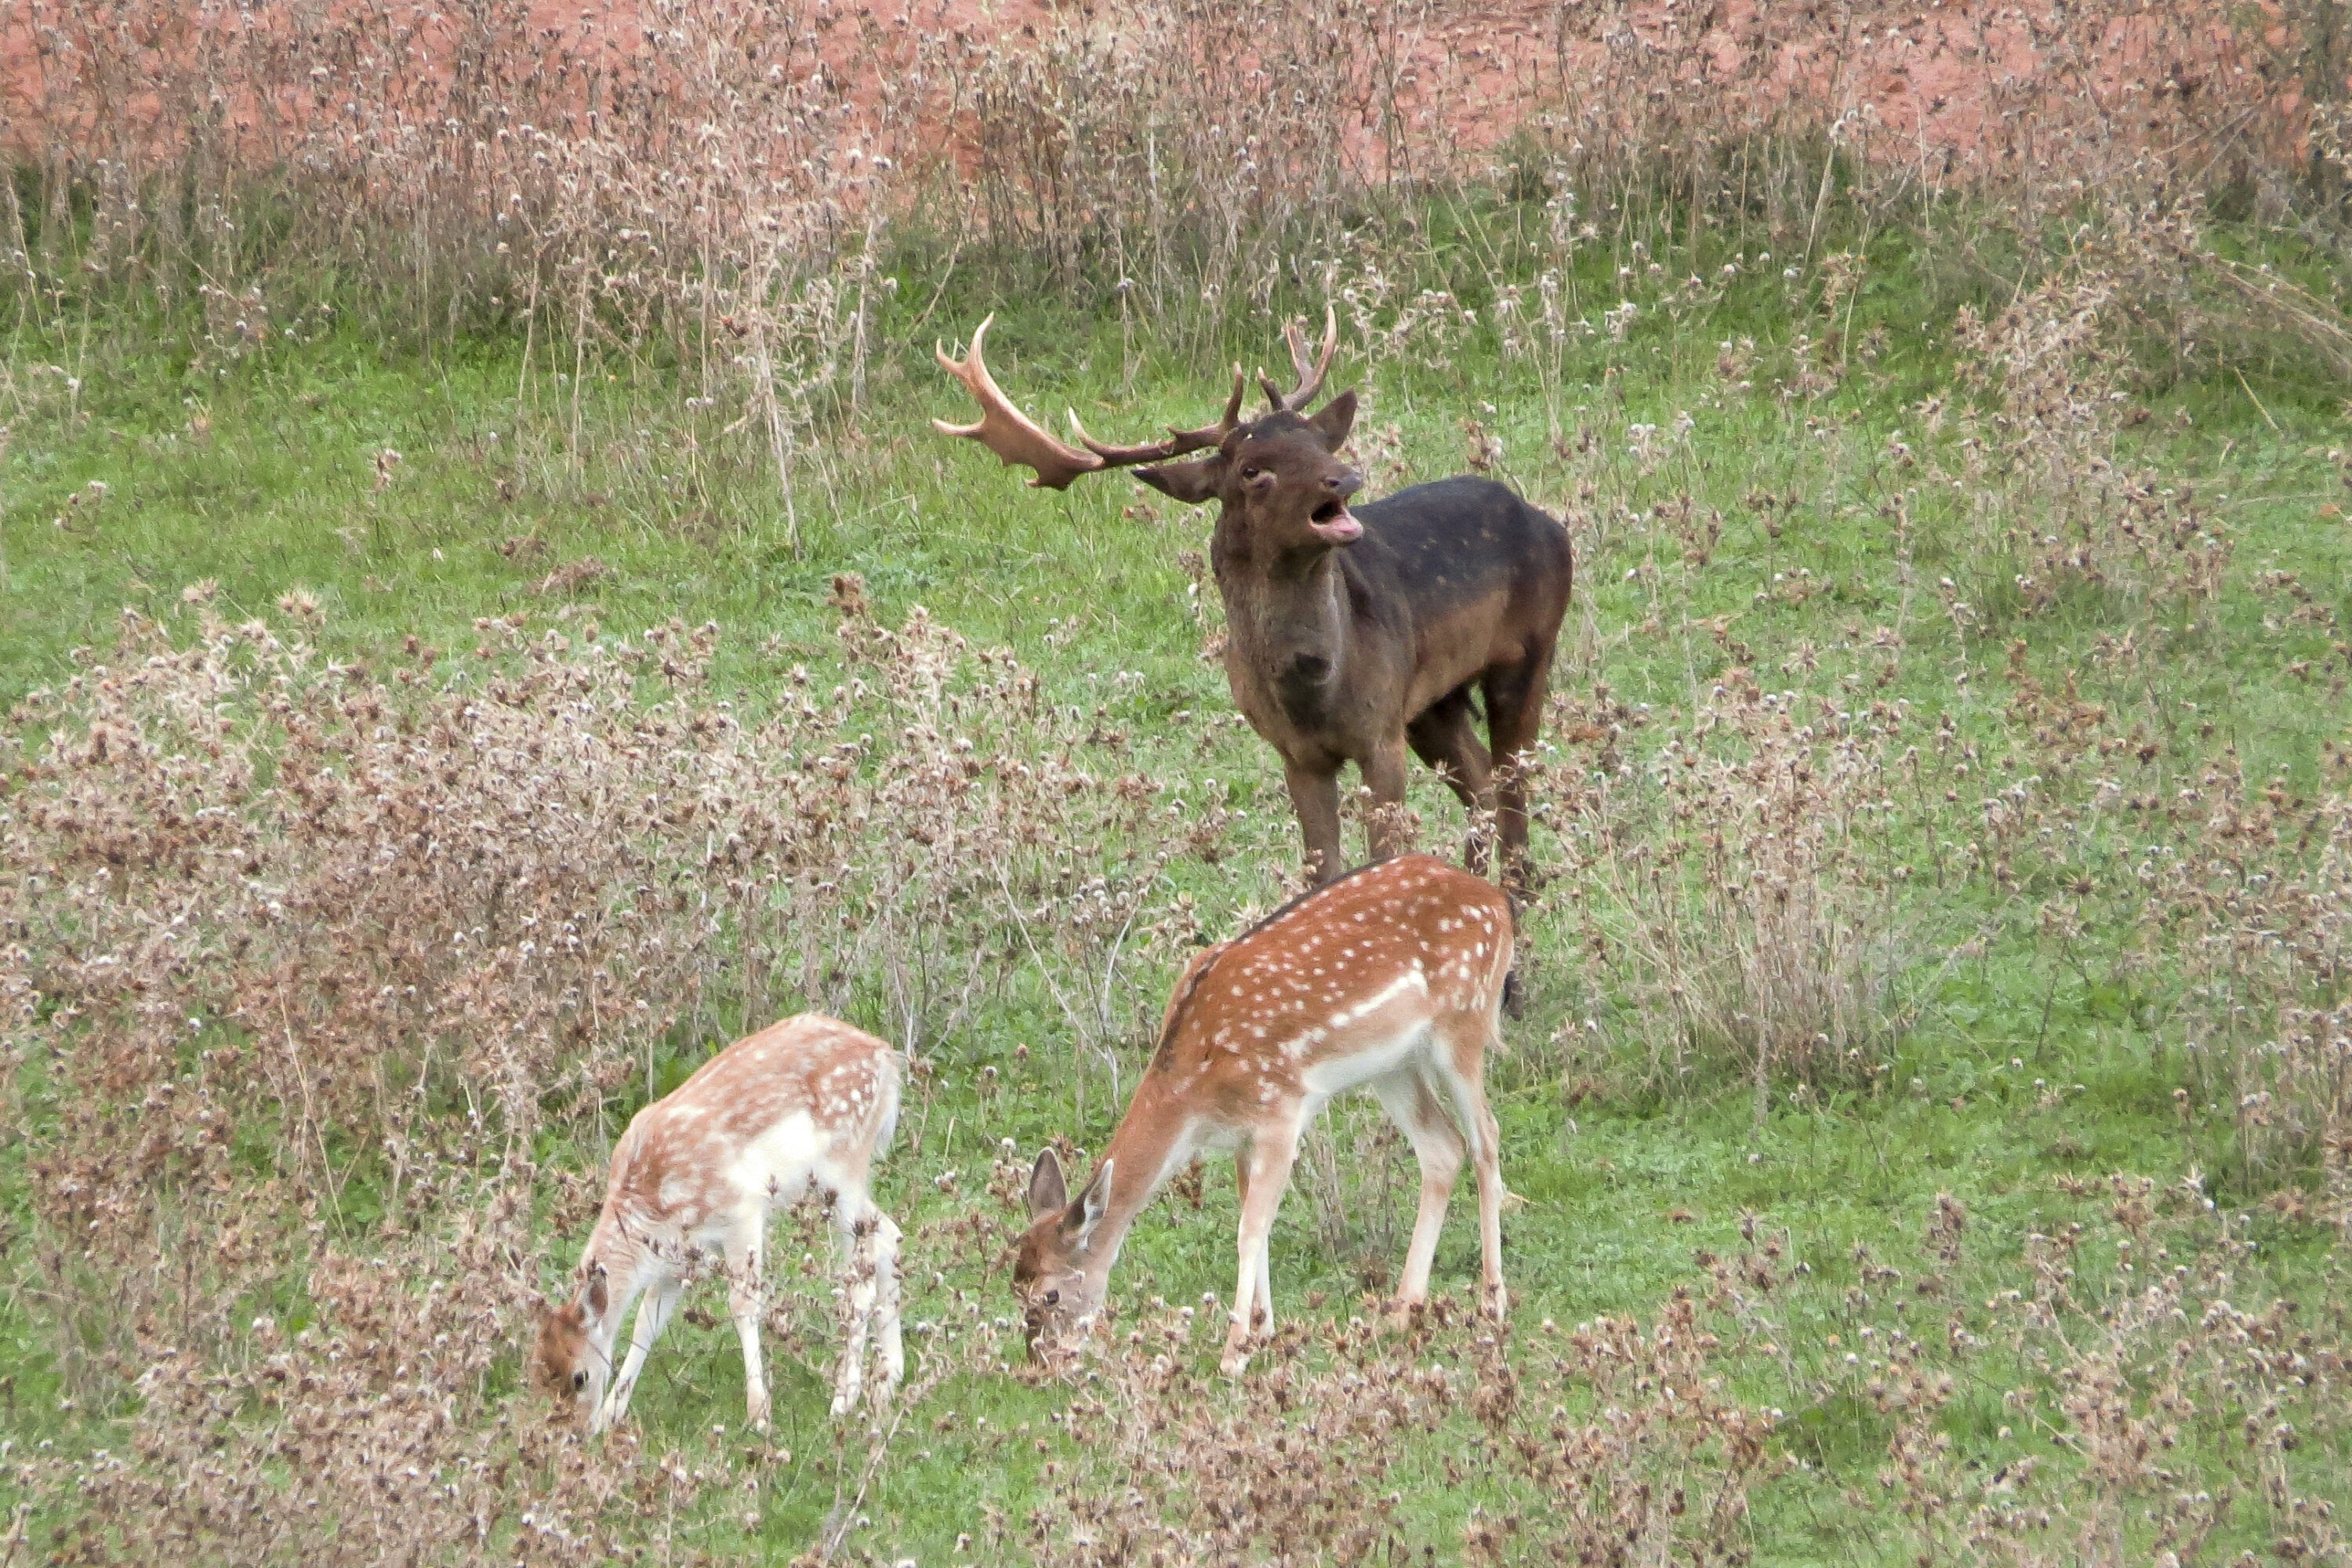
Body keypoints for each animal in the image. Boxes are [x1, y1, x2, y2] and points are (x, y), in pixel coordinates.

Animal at [539, 1020, 903, 1439]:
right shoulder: (678, 1256)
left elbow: (743, 1306)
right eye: (538, 1377)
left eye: (579, 1376)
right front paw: (612, 1415)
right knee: (888, 1235)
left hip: (842, 1164)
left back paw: (844, 1400)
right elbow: (647, 1322)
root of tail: (885, 1055)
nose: (574, 1433)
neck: (652, 1210)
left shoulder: (741, 1211)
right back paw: (888, 1380)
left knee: (860, 1273)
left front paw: (759, 1414)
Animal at [936, 307, 1581, 945]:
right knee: (1481, 778)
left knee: (1513, 781)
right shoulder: (1298, 751)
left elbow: (1384, 853)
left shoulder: (1379, 733)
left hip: (1528, 651)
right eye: (1251, 470)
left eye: (1316, 439)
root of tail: (1546, 520)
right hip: (1431, 703)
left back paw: (1514, 907)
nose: (1344, 478)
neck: (1316, 688)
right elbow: (1323, 869)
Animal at [1007, 851, 1505, 1382]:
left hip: (1464, 1021)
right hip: (1393, 1065)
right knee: (1443, 1147)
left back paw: (1493, 1303)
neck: (1196, 1096)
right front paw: (1262, 1333)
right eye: (1014, 1286)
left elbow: (1248, 1230)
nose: (1039, 1365)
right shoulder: (1242, 1136)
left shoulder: (1279, 1110)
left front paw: (1233, 1352)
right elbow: (1255, 1221)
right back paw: (1400, 1310)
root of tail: (1499, 902)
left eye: (1050, 1294)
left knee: (1485, 1139)